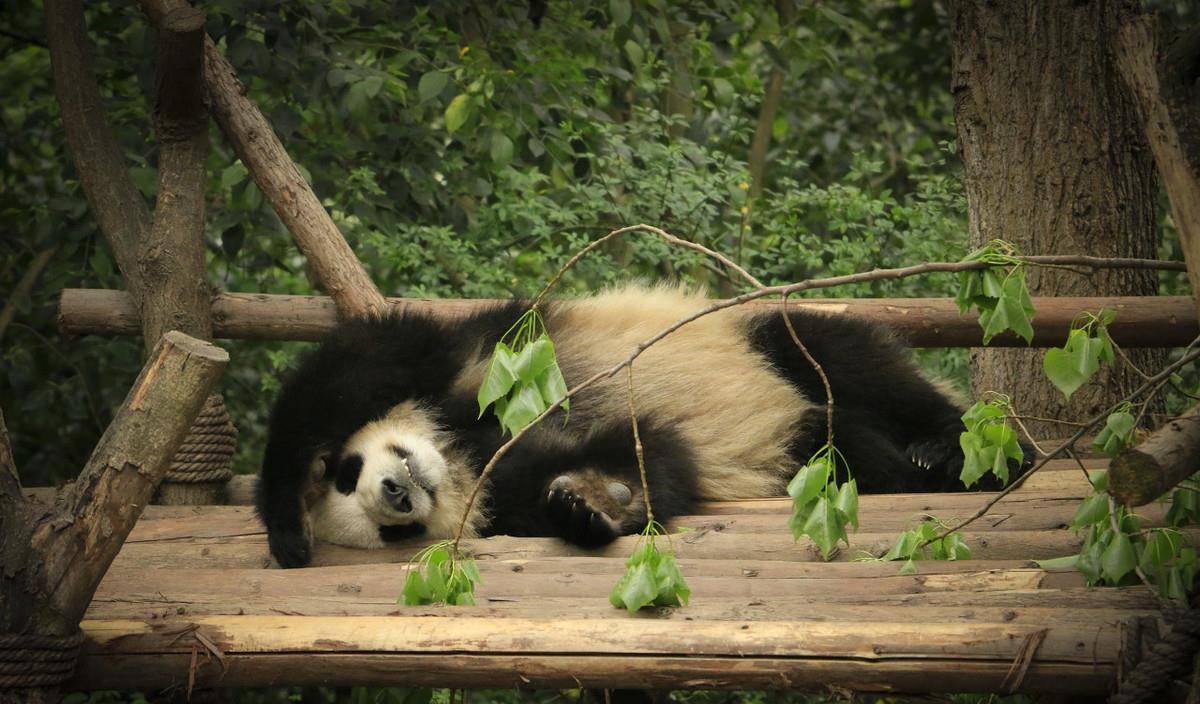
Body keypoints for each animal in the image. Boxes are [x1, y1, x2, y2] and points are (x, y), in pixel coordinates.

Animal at [260, 284, 1012, 570]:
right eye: (394, 533)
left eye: (349, 470)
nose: (394, 494)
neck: (460, 450)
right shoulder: (503, 487)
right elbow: (650, 453)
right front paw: (593, 502)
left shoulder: (478, 355)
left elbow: (358, 365)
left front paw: (287, 525)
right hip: (814, 453)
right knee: (847, 444)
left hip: (762, 341)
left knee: (841, 357)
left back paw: (957, 452)